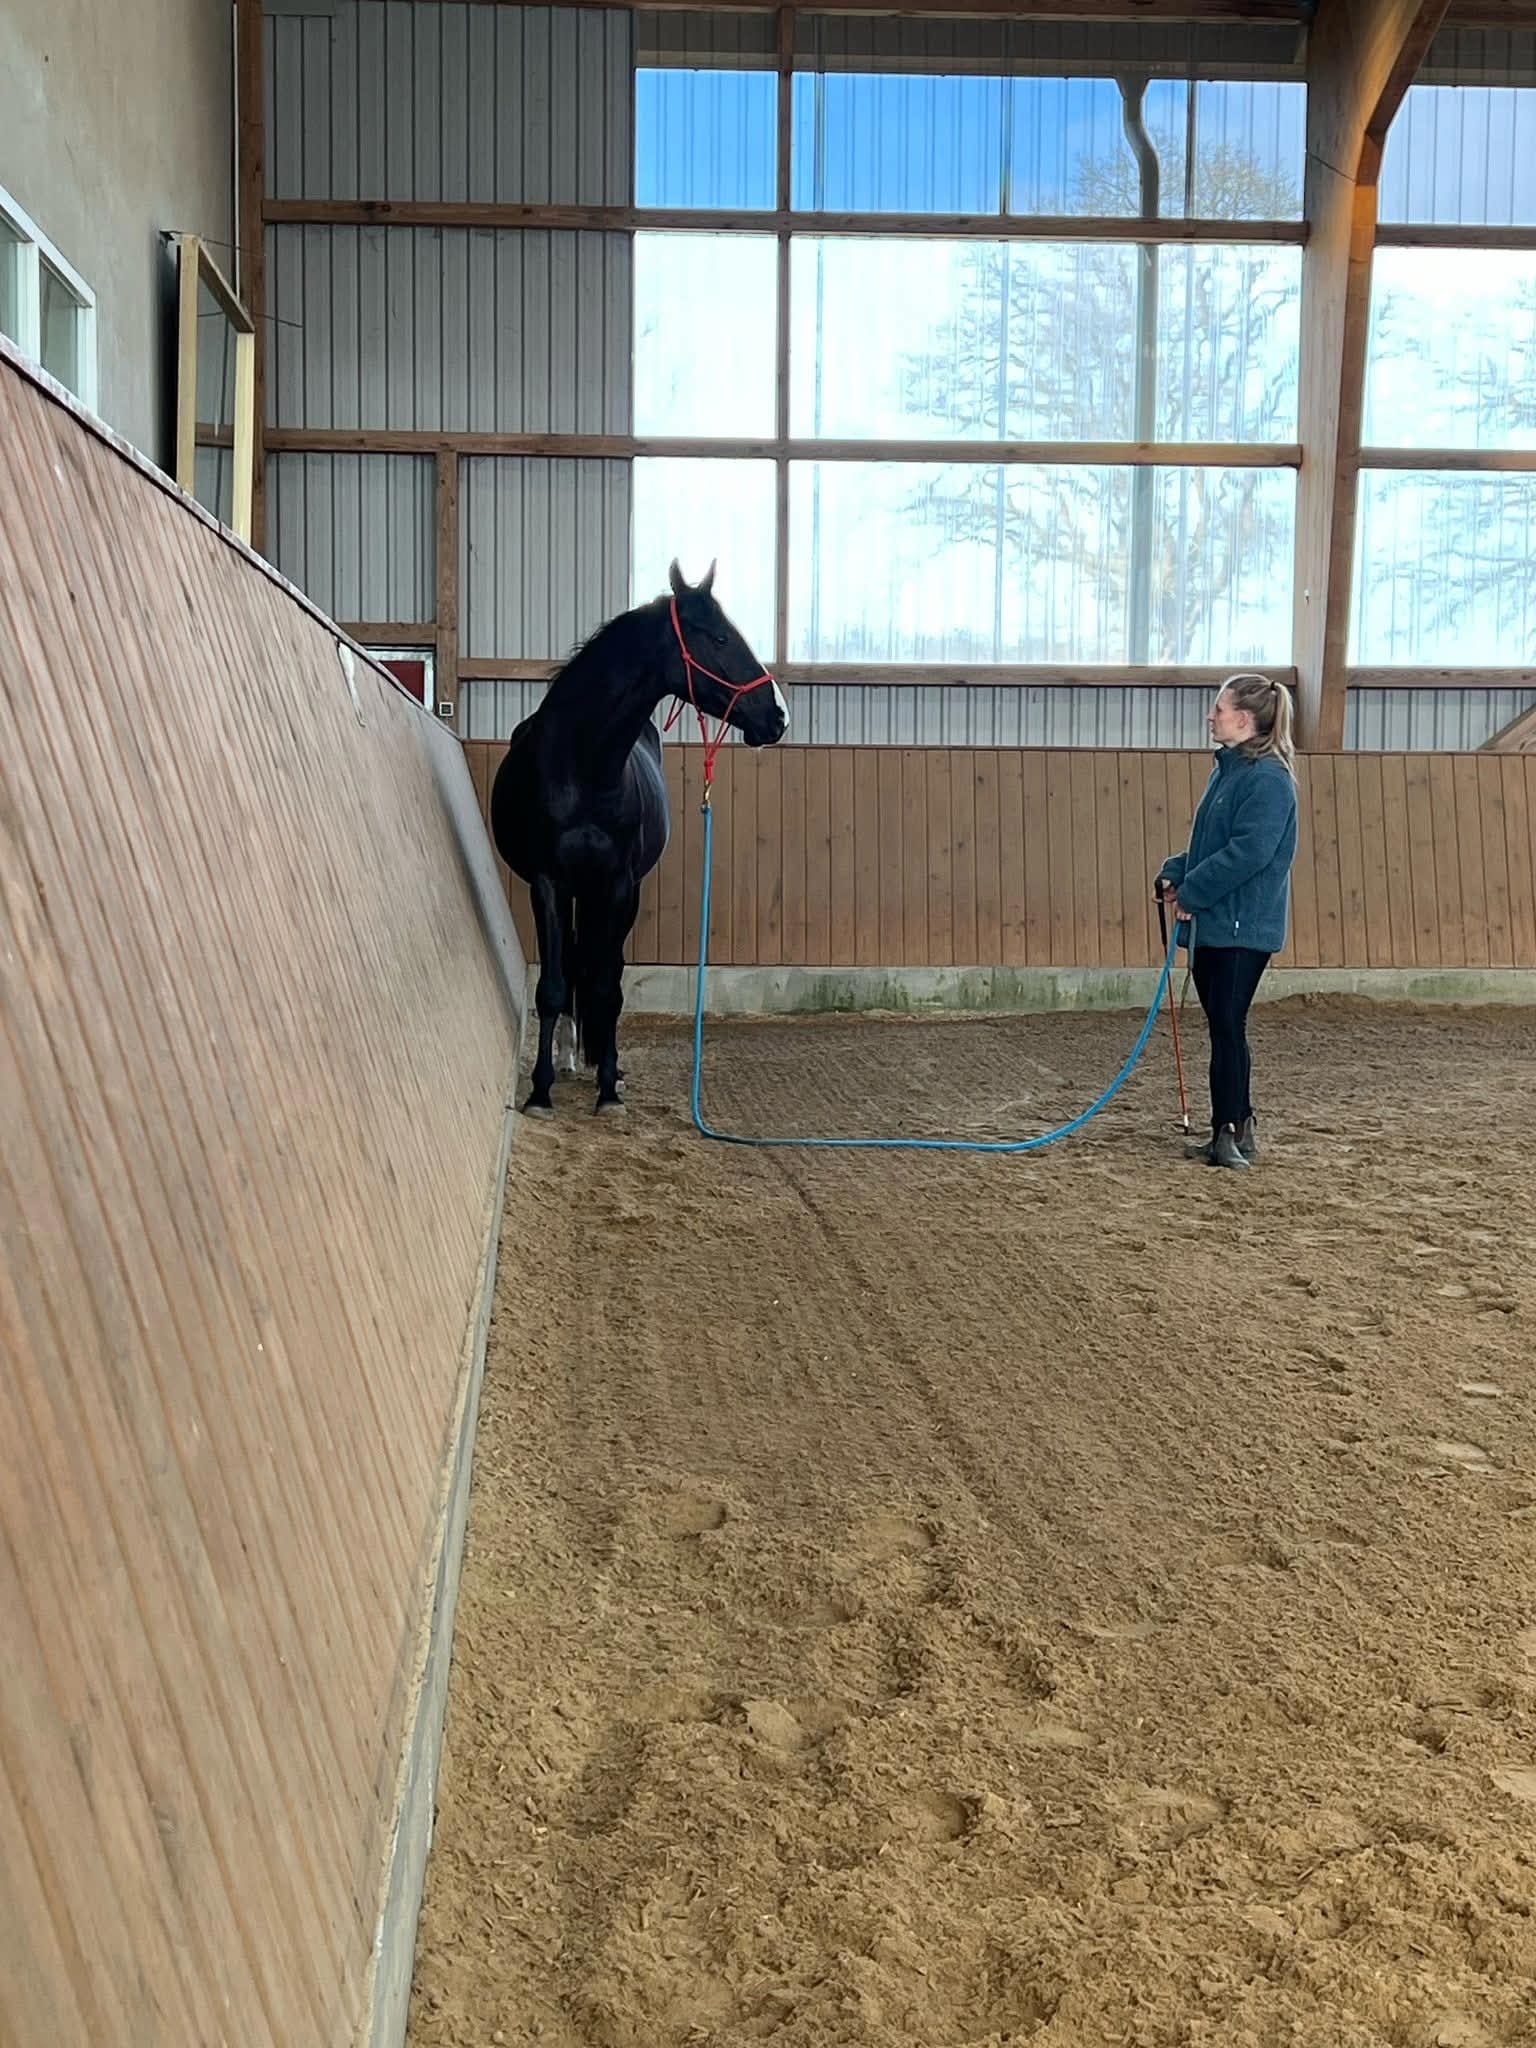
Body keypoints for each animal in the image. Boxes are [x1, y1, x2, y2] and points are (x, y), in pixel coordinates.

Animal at [490, 560, 788, 1116]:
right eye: (720, 637)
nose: (777, 715)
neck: (584, 769)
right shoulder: (548, 883)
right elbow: (554, 986)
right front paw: (540, 1089)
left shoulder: (619, 885)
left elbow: (609, 986)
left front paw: (609, 1086)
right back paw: (568, 1058)